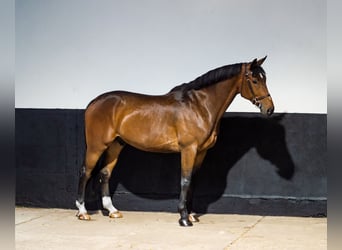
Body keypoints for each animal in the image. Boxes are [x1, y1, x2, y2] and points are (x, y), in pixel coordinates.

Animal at [76, 56, 274, 227]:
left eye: (264, 78)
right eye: (254, 80)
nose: (270, 109)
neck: (199, 106)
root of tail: (94, 102)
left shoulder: (201, 152)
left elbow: (193, 181)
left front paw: (191, 215)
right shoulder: (188, 149)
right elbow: (185, 180)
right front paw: (184, 218)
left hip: (116, 145)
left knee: (104, 174)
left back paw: (112, 210)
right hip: (96, 146)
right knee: (86, 172)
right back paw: (82, 212)